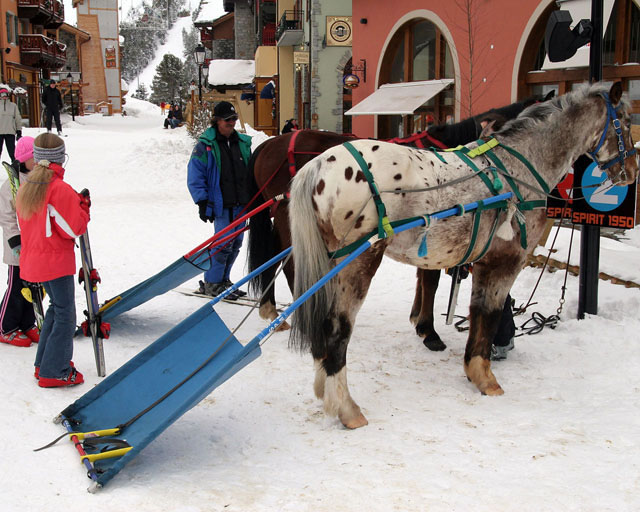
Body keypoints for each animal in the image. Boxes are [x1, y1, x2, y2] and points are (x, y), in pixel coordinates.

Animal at [246, 96, 552, 336]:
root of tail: (268, 145)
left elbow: (423, 274)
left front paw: (417, 316)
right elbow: (430, 279)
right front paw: (427, 328)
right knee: (290, 265)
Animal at [288, 84, 636, 428]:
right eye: (628, 120)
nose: (631, 171)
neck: (519, 167)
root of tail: (318, 165)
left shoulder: (483, 262)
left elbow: (476, 311)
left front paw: (472, 367)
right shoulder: (506, 261)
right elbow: (489, 313)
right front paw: (486, 378)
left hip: (333, 263)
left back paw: (325, 390)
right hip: (360, 261)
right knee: (337, 328)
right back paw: (347, 409)